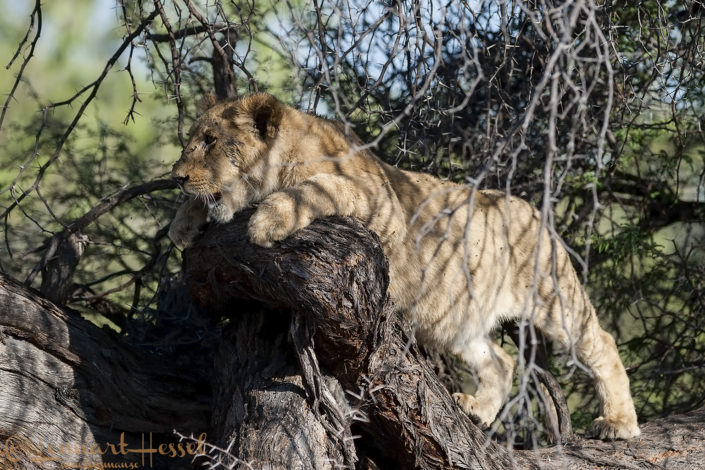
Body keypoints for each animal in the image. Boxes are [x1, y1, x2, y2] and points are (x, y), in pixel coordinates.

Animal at [169, 93, 641, 440]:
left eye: (210, 141)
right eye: (192, 139)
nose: (177, 176)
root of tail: (532, 208)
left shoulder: (377, 200)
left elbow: (317, 187)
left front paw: (267, 220)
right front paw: (183, 223)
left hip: (552, 295)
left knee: (602, 344)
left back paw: (619, 423)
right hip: (455, 321)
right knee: (501, 363)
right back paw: (478, 410)